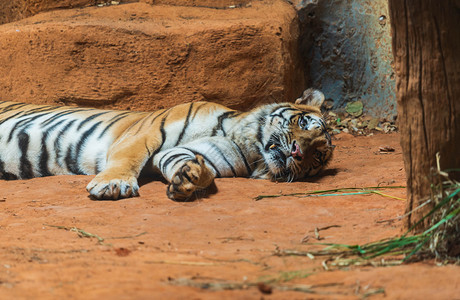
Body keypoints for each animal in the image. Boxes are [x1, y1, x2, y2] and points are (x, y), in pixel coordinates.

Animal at [0, 89, 334, 202]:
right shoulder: (144, 135)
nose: (298, 152)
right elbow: (127, 160)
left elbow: (192, 164)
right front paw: (113, 185)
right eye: (305, 123)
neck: (247, 145)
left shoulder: (195, 154)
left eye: (317, 157)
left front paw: (188, 180)